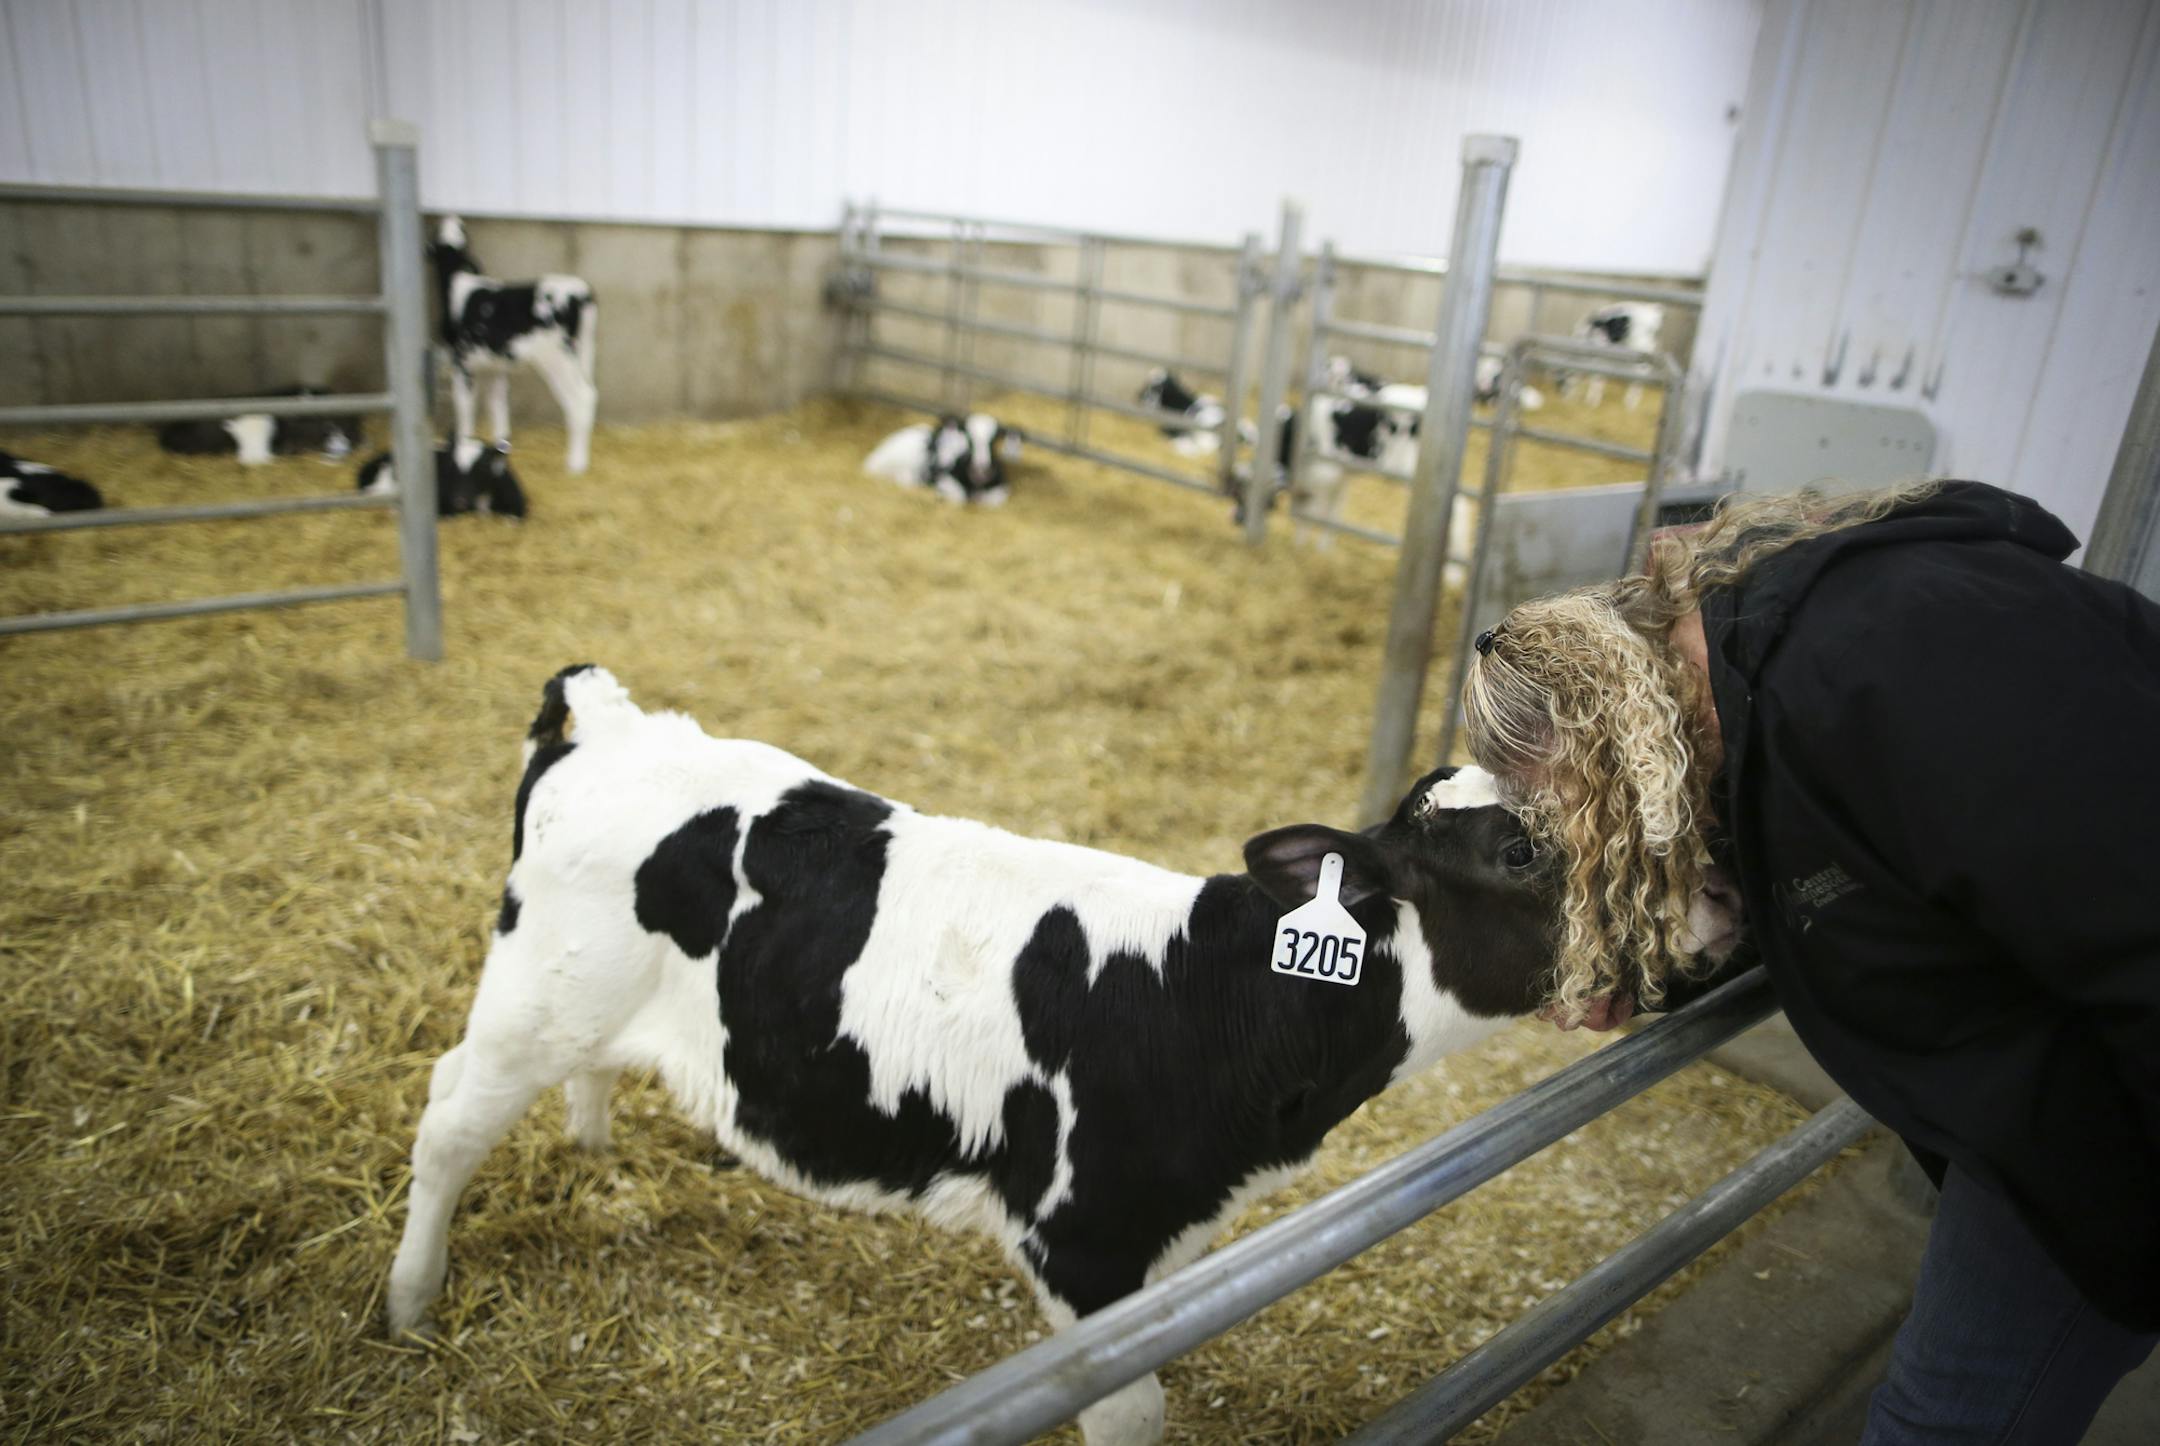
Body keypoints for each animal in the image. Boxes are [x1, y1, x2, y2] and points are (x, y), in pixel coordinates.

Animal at [386, 666, 1738, 1444]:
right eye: (1518, 852)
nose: (1714, 900)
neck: (1218, 1006)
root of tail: (610, 723)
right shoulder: (1081, 1244)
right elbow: (1129, 1412)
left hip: (583, 1004)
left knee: (586, 1069)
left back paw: (594, 1144)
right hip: (525, 997)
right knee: (447, 1123)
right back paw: (408, 1301)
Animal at [429, 216, 598, 474]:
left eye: (454, 232)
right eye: (460, 230)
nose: (451, 216)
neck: (458, 282)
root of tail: (581, 293)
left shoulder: (461, 361)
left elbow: (465, 406)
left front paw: (463, 444)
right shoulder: (495, 365)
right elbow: (497, 404)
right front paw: (502, 445)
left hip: (557, 358)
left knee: (582, 397)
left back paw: (576, 463)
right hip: (583, 352)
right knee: (590, 392)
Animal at [862, 413, 1024, 506]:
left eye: (993, 441)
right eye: (969, 439)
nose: (981, 467)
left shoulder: (1001, 488)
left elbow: (991, 499)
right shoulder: (943, 478)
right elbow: (960, 497)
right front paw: (939, 494)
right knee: (903, 478)